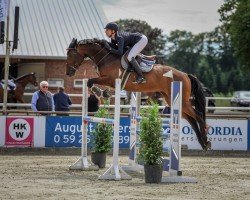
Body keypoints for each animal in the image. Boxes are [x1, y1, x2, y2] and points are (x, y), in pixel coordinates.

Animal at [66, 38, 211, 150]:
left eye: (71, 55)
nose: (68, 73)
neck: (106, 57)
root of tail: (185, 74)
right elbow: (91, 82)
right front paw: (103, 92)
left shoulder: (111, 80)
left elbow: (91, 81)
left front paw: (101, 92)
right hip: (172, 99)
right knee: (191, 119)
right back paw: (203, 143)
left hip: (182, 101)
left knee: (198, 115)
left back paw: (206, 140)